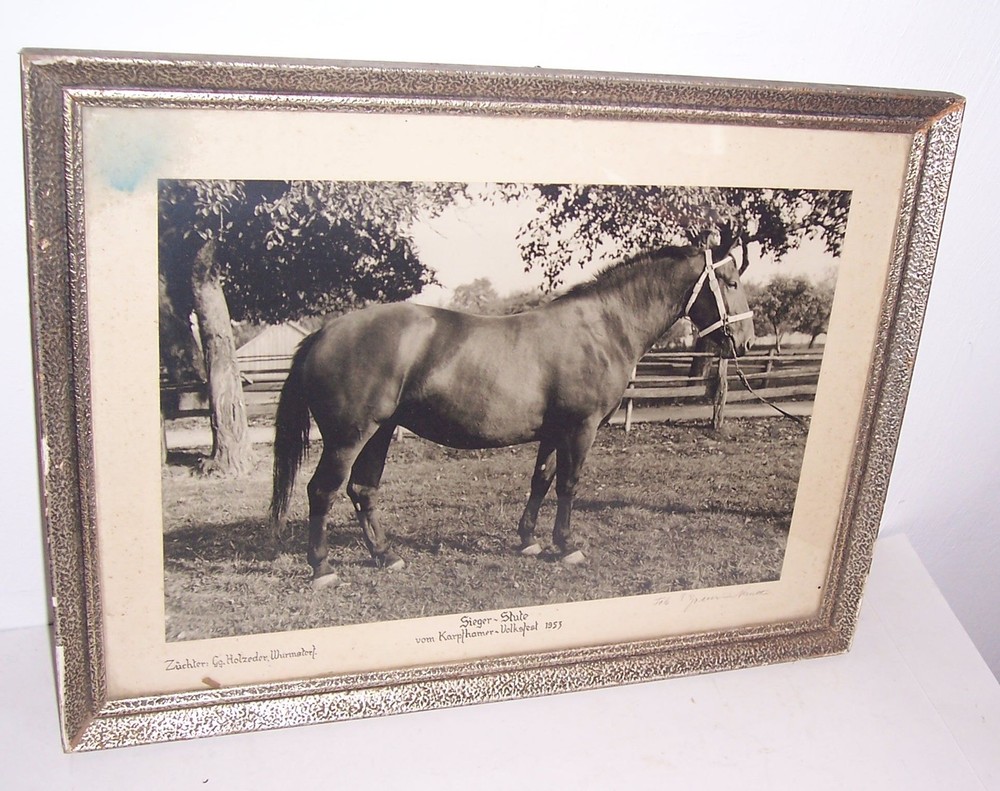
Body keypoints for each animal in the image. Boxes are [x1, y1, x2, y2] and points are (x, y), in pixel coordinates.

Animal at [269, 242, 754, 587]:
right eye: (730, 281)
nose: (746, 341)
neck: (601, 327)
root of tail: (324, 333)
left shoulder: (554, 431)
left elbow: (541, 479)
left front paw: (529, 541)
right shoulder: (581, 428)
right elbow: (569, 484)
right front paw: (566, 545)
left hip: (380, 432)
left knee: (362, 490)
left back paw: (386, 556)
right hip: (348, 437)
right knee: (323, 492)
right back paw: (322, 568)